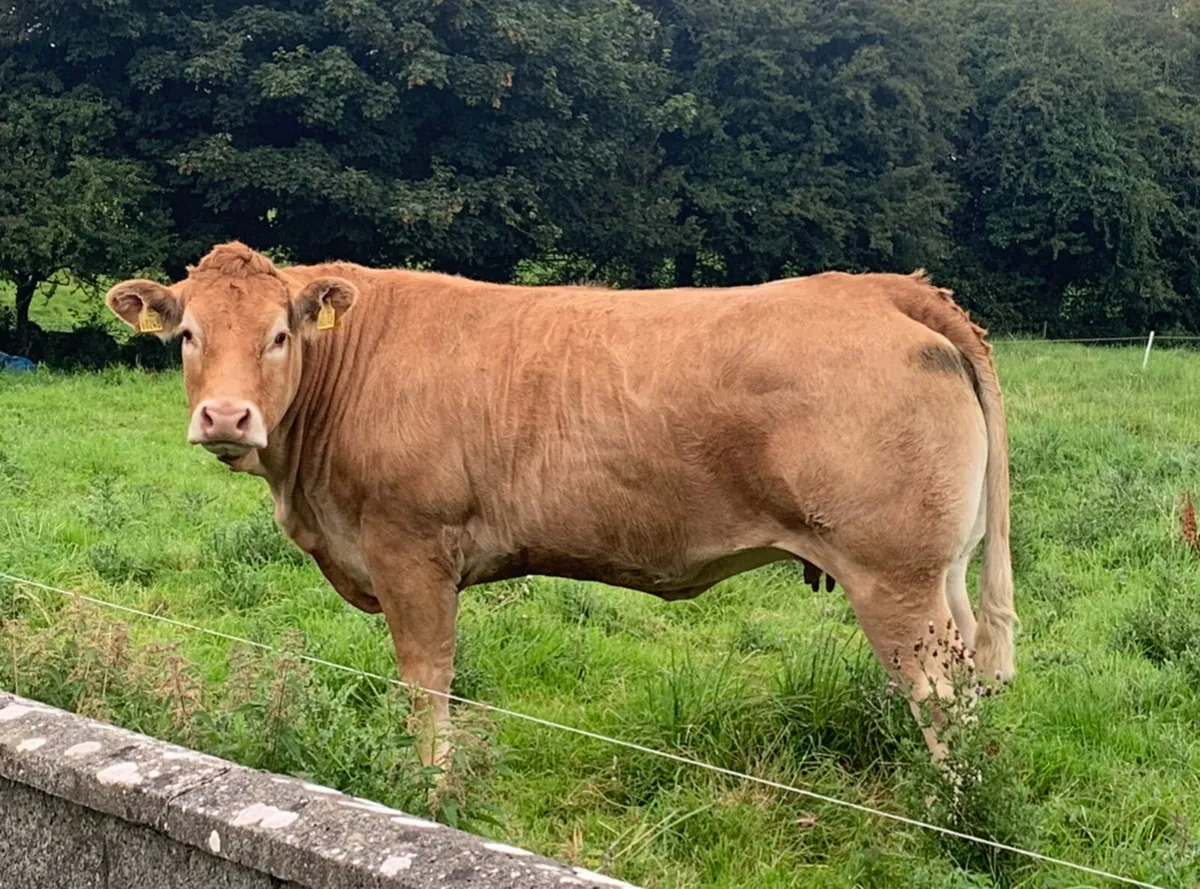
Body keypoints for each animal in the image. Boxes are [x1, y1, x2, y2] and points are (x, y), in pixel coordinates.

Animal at [105, 242, 1016, 769]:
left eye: (280, 335)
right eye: (187, 335)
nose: (226, 416)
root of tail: (883, 288)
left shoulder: (410, 549)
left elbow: (425, 678)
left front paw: (428, 782)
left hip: (893, 574)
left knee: (941, 698)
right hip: (944, 574)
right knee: (969, 681)